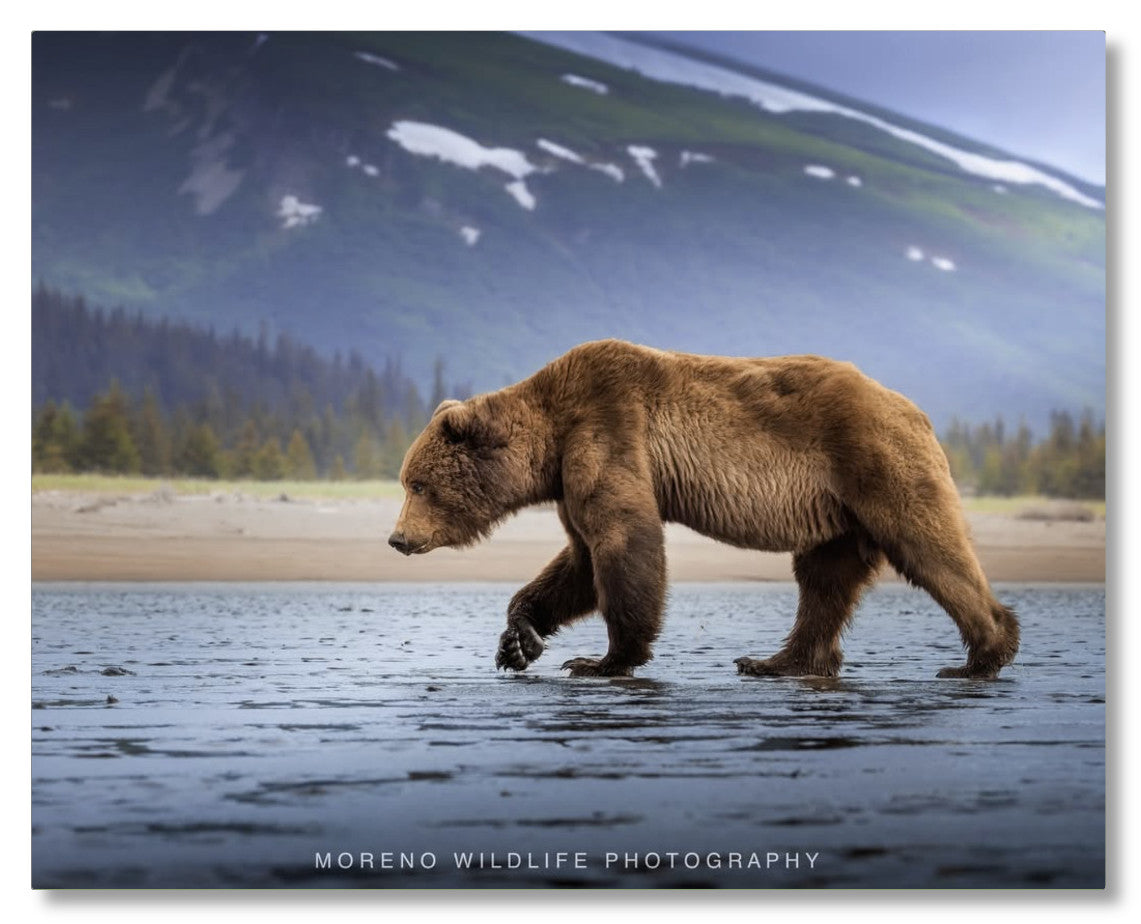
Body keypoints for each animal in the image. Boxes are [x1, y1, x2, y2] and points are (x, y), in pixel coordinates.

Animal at [388, 339, 1019, 680]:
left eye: (417, 484)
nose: (396, 539)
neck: (551, 434)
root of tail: (915, 409)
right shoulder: (571, 474)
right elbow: (579, 560)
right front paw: (519, 641)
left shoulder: (607, 428)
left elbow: (623, 542)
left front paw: (603, 659)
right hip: (838, 511)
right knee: (824, 580)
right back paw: (776, 661)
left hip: (875, 464)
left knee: (928, 547)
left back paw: (982, 654)